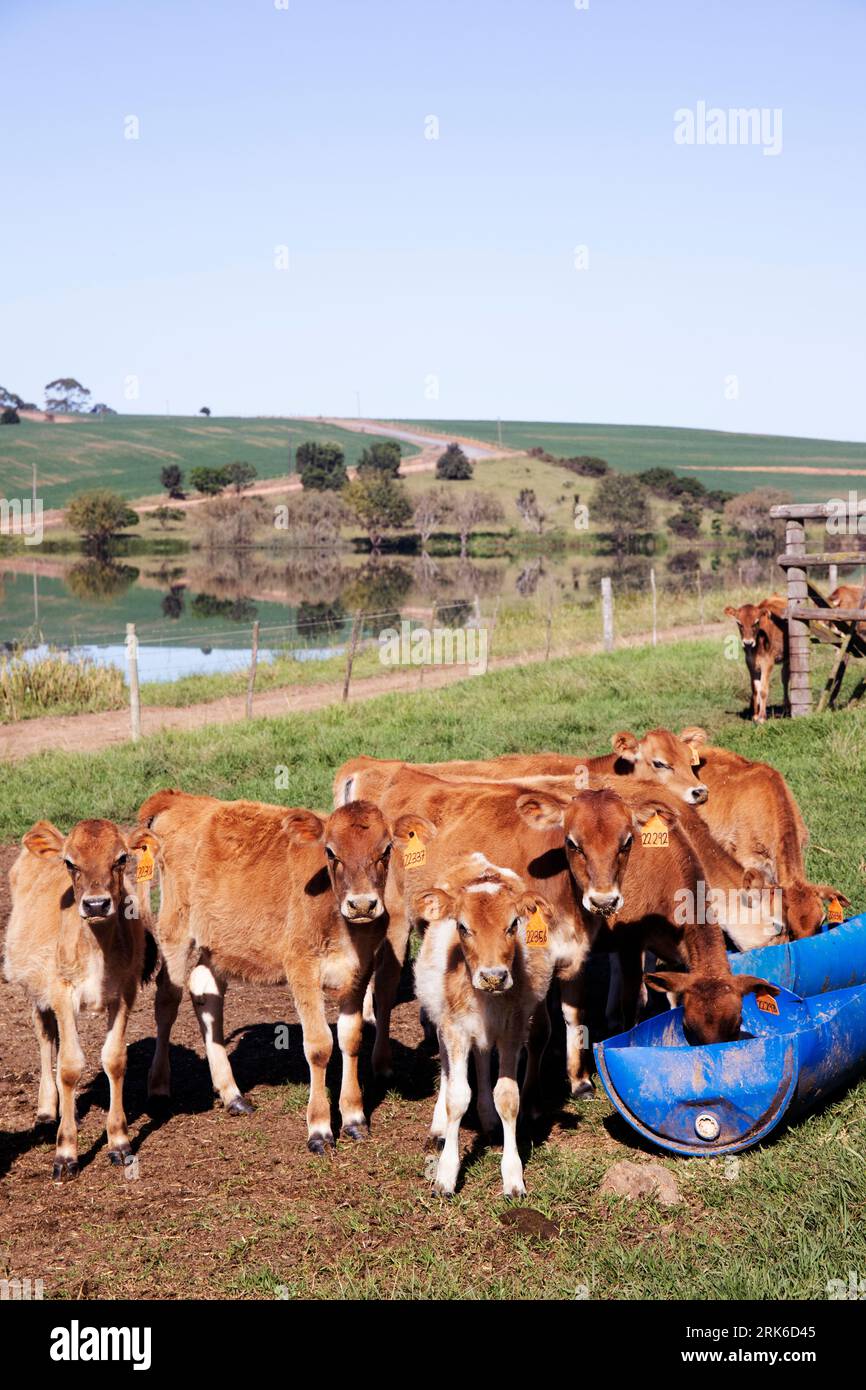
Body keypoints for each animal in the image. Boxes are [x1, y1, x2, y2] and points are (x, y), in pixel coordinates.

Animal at [3, 819, 159, 1181]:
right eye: (69, 862)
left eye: (121, 859)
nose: (96, 904)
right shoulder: (61, 991)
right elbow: (70, 1065)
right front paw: (66, 1153)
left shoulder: (125, 992)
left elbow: (114, 1059)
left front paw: (119, 1142)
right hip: (37, 989)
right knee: (46, 1037)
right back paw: (47, 1110)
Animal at [137, 789, 412, 1152]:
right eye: (330, 851)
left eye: (386, 849)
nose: (363, 904)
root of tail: (179, 797)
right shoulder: (301, 966)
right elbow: (319, 1045)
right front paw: (320, 1129)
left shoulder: (360, 970)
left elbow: (350, 1039)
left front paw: (354, 1118)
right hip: (176, 930)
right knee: (167, 1000)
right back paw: (158, 1086)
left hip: (217, 942)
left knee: (206, 994)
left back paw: (232, 1094)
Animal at [413, 862, 556, 1197]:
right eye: (463, 927)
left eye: (513, 924)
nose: (493, 977)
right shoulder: (455, 1029)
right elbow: (457, 1096)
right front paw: (446, 1174)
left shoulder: (512, 1030)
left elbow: (508, 1097)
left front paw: (513, 1176)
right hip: (441, 1019)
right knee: (447, 1069)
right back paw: (439, 1125)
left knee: (480, 1059)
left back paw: (489, 1120)